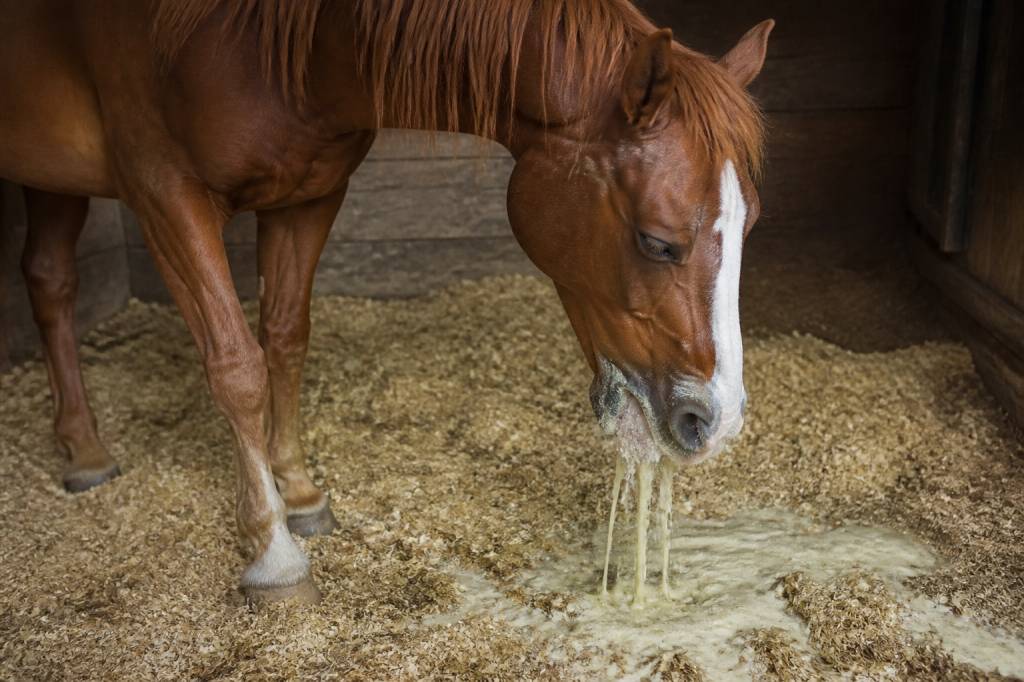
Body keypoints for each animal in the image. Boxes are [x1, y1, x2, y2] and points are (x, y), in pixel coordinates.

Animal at [0, 0, 771, 604]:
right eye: (657, 241)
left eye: (750, 225)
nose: (718, 421)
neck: (271, 40)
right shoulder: (165, 194)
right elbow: (237, 366)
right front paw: (274, 552)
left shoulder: (309, 195)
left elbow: (285, 337)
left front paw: (300, 493)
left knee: (49, 279)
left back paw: (83, 448)